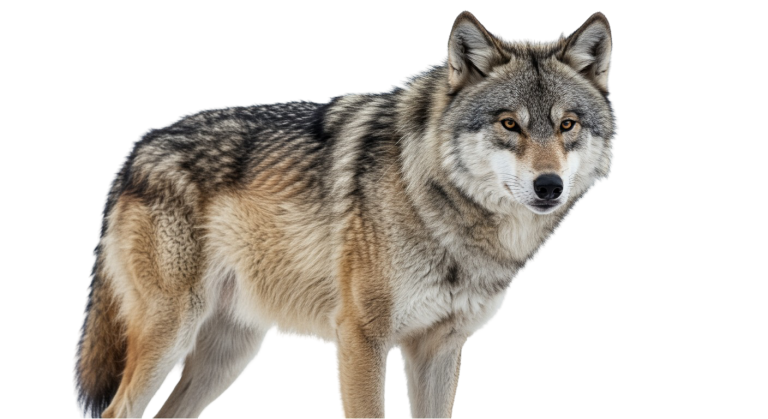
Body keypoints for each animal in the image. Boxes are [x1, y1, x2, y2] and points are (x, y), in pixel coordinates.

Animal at [72, 10, 618, 419]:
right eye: (509, 124)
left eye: (567, 125)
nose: (548, 186)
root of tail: (136, 148)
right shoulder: (361, 338)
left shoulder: (440, 349)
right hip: (171, 333)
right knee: (120, 411)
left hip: (230, 354)